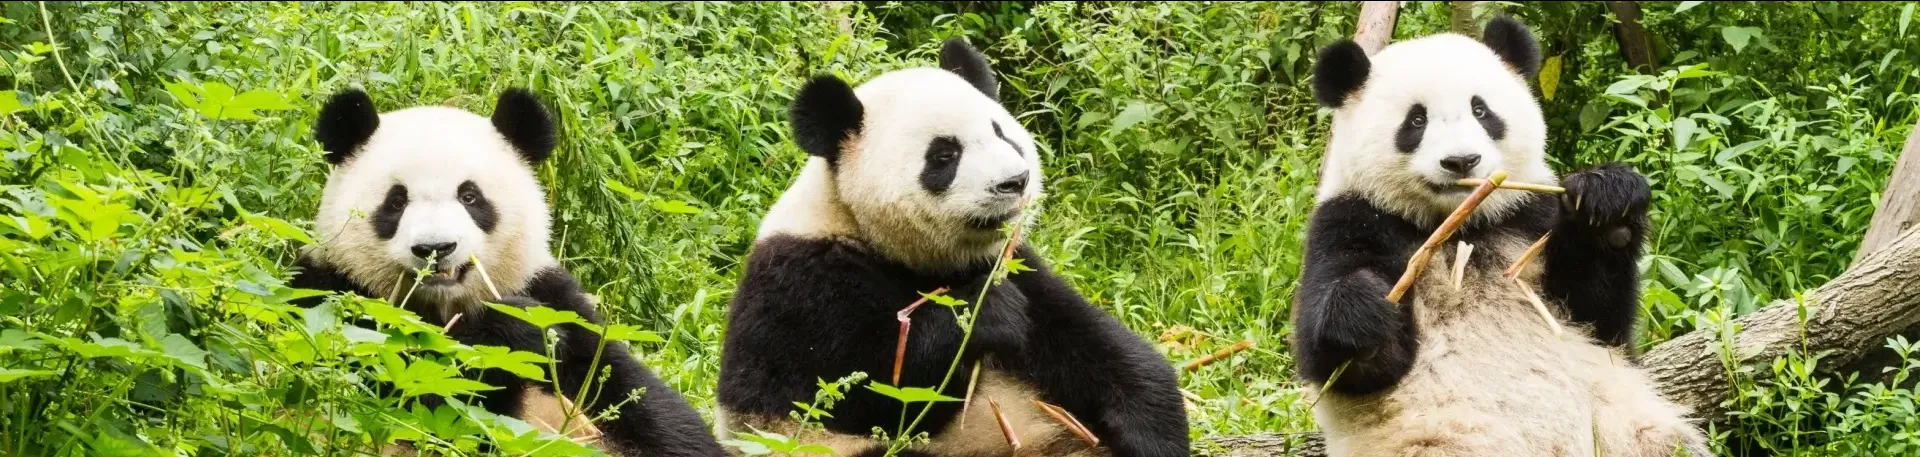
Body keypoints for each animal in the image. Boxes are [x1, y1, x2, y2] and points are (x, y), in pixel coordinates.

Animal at [288, 87, 721, 455]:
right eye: (396, 202)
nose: (436, 248)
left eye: (469, 196)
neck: (445, 306)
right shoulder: (330, 297)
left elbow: (634, 395)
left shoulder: (555, 298)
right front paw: (511, 333)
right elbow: (414, 393)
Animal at [710, 38, 1182, 457]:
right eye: (943, 156)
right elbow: (854, 390)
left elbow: (1091, 342)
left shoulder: (1012, 262)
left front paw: (1152, 431)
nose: (1015, 181)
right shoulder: (800, 284)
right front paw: (987, 313)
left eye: (1002, 134)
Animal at [1297, 16, 1720, 455]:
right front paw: (1363, 311)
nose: (1462, 161)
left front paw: (1607, 205)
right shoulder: (1351, 221)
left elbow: (1600, 317)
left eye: (1481, 110)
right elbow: (1348, 366)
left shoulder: (1527, 217)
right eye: (1416, 121)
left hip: (1628, 427)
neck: (1460, 226)